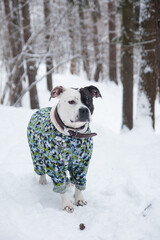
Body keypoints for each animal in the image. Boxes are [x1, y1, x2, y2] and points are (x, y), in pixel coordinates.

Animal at [26, 85, 100, 213]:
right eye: (71, 102)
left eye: (88, 100)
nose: (84, 110)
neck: (73, 134)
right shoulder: (55, 165)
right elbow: (61, 185)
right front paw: (67, 204)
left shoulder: (82, 163)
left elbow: (79, 183)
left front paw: (79, 199)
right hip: (36, 154)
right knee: (40, 168)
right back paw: (42, 180)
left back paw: (70, 182)